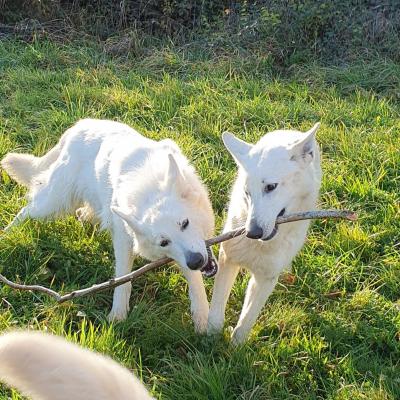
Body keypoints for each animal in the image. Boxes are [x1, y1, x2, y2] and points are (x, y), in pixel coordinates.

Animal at [1, 119, 217, 332]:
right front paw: (118, 315)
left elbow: (194, 281)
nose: (196, 261)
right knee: (26, 210)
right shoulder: (123, 239)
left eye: (185, 223)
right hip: (54, 203)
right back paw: (7, 234)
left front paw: (202, 318)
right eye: (163, 242)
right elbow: (123, 277)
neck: (148, 191)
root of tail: (79, 126)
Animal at [206, 122, 322, 344]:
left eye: (271, 187)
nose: (252, 232)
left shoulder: (266, 278)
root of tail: (288, 131)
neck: (260, 245)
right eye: (247, 193)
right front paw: (209, 339)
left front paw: (235, 347)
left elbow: (246, 321)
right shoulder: (227, 258)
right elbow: (216, 309)